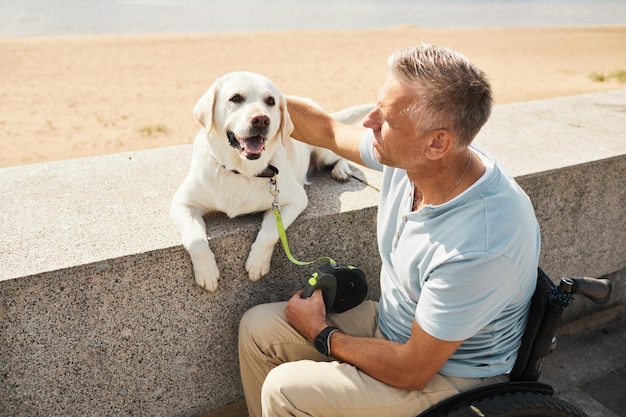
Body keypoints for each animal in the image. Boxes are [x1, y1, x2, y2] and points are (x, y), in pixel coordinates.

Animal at [169, 71, 370, 290]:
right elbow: (195, 240)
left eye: (270, 101)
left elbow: (270, 233)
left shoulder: (294, 200)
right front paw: (207, 272)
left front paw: (257, 263)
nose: (261, 120)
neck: (242, 171)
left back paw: (341, 170)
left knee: (342, 155)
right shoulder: (183, 203)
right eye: (235, 98)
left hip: (324, 151)